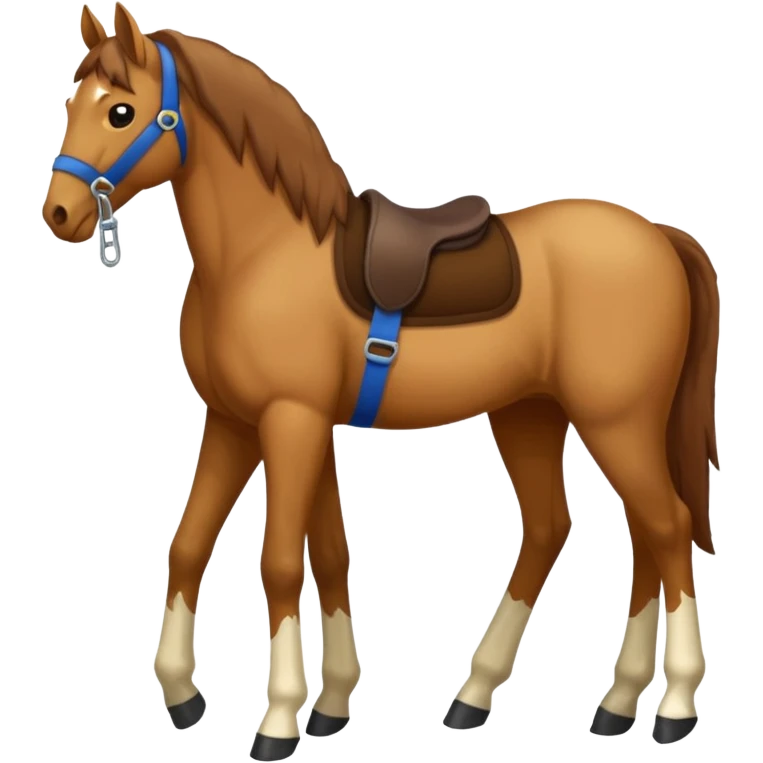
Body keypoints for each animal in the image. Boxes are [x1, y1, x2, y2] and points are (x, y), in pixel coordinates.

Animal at [42, 3, 721, 758]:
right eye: (72, 104)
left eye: (122, 111)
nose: (60, 213)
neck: (263, 252)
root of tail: (662, 237)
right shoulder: (243, 421)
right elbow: (241, 549)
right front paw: (251, 701)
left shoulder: (290, 419)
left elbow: (281, 561)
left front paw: (278, 719)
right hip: (532, 413)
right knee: (586, 530)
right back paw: (561, 700)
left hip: (616, 420)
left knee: (666, 528)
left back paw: (672, 705)